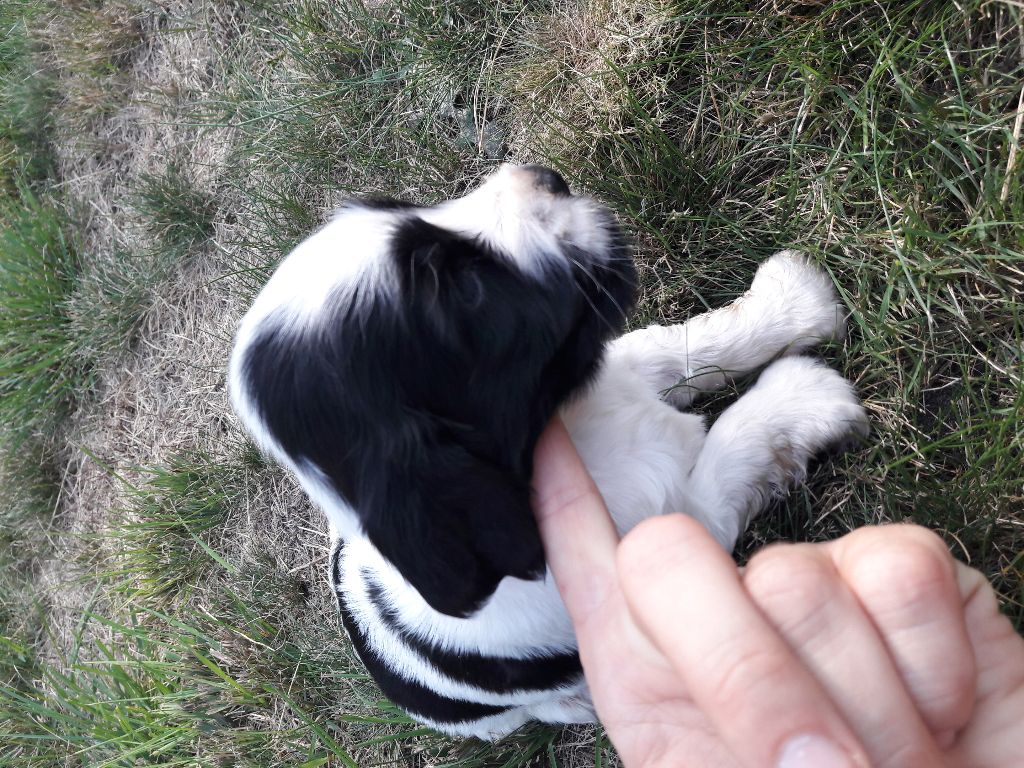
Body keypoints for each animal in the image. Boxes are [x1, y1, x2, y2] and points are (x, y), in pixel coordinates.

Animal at [228, 164, 868, 739]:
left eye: (398, 206)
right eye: (462, 287)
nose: (546, 178)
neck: (572, 434)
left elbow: (678, 347)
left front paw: (790, 304)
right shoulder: (677, 539)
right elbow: (730, 449)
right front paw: (802, 396)